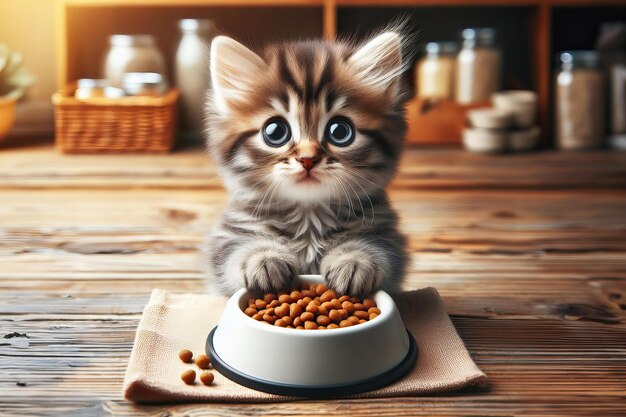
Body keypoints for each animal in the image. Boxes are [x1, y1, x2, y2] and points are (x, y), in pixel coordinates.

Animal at [205, 29, 410, 296]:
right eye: (275, 132)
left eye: (340, 131)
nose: (307, 158)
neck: (309, 216)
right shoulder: (226, 235)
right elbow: (234, 251)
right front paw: (263, 258)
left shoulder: (388, 235)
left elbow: (377, 246)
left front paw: (353, 260)